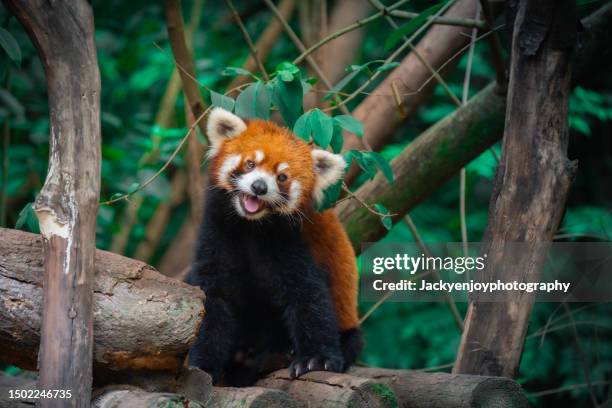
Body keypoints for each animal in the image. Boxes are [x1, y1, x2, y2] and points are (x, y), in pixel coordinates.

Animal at [189, 107, 360, 384]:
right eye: (250, 163)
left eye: (282, 177)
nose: (259, 187)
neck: (250, 227)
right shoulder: (217, 234)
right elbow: (214, 298)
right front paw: (202, 366)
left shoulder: (291, 242)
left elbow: (307, 295)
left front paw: (316, 359)